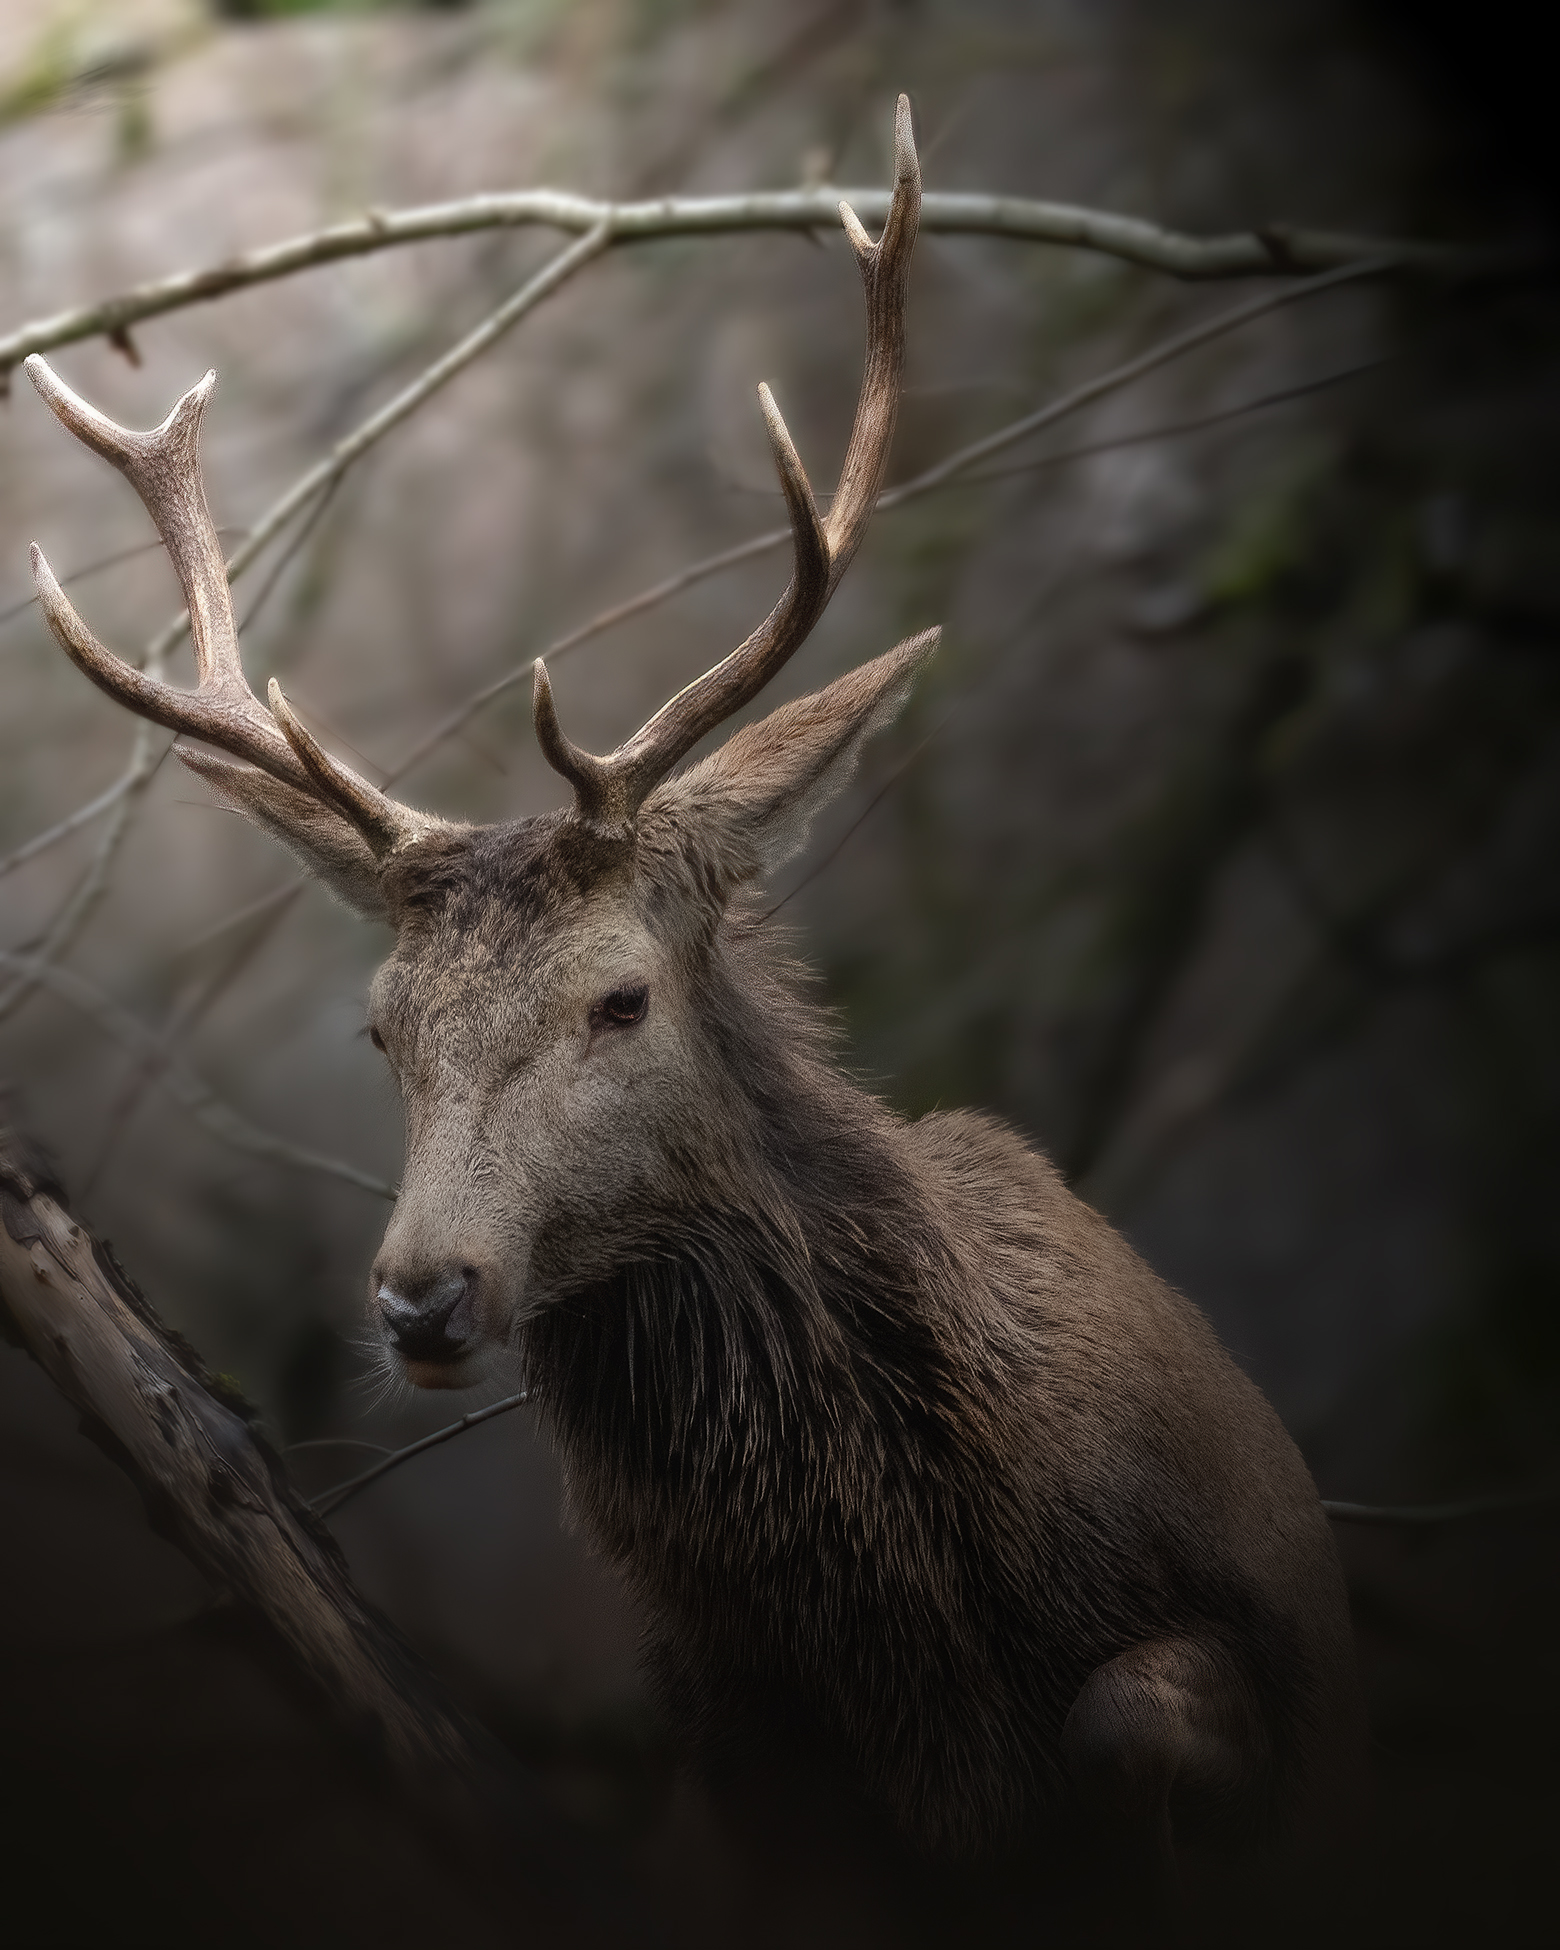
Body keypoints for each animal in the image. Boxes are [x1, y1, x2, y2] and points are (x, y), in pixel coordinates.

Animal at [21, 98, 1360, 1928]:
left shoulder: (1267, 1651)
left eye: (621, 996)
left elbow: (1133, 1717)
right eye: (381, 1028)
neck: (931, 1622)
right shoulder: (728, 1753)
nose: (423, 1294)